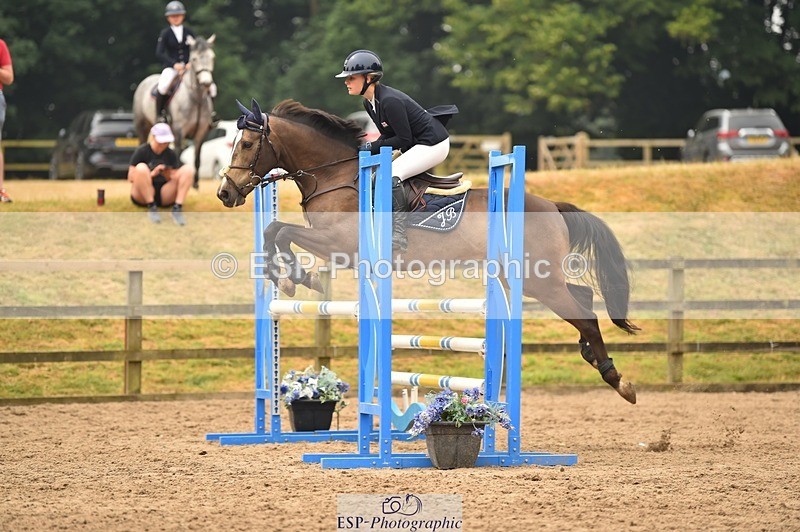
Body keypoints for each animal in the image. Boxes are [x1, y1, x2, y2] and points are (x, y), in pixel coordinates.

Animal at [133, 34, 217, 188]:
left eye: (212, 57)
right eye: (194, 59)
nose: (206, 83)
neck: (196, 98)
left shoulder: (201, 132)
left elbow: (197, 157)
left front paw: (195, 183)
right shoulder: (179, 130)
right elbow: (177, 154)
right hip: (142, 126)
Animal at [217, 98, 640, 404]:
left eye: (248, 145)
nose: (225, 193)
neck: (335, 175)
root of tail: (552, 206)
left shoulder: (339, 244)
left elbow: (279, 231)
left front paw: (295, 278)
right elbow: (274, 231)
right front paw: (290, 279)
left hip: (538, 279)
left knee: (587, 316)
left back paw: (617, 380)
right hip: (531, 276)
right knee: (582, 297)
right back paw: (593, 357)